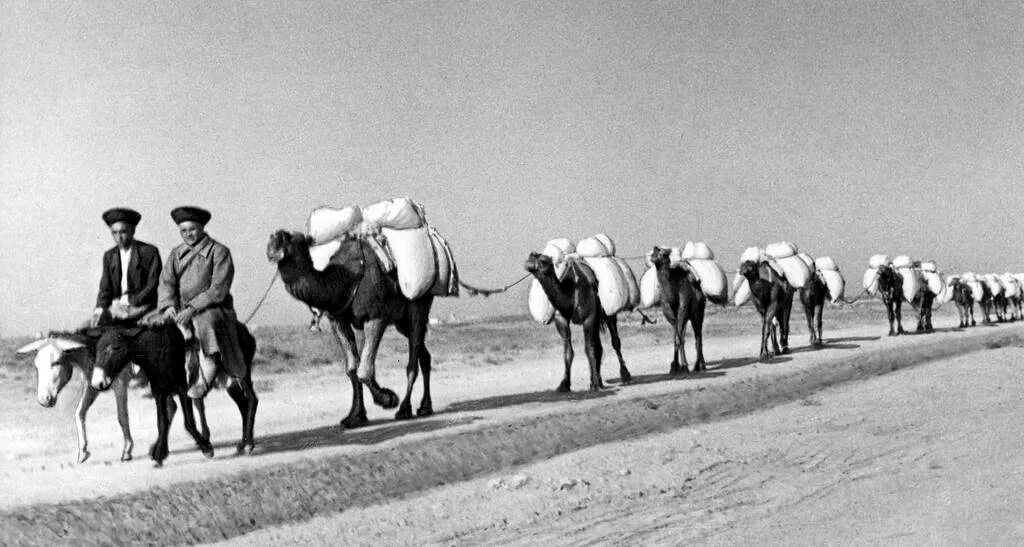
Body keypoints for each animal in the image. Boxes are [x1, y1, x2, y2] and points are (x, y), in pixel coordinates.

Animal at [266, 231, 430, 428]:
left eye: (288, 237)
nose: (272, 241)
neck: (343, 280)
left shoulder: (377, 317)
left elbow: (363, 370)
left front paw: (388, 399)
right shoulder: (339, 320)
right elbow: (352, 368)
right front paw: (355, 417)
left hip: (419, 304)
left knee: (413, 358)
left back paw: (404, 409)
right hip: (401, 321)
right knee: (423, 353)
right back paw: (425, 407)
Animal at [524, 250, 626, 393]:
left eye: (544, 260)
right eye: (530, 256)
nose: (530, 259)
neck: (571, 291)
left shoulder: (589, 318)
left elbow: (589, 349)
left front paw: (594, 384)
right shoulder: (561, 320)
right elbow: (568, 351)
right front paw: (564, 384)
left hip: (607, 312)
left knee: (615, 341)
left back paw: (625, 375)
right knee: (598, 346)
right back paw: (598, 380)